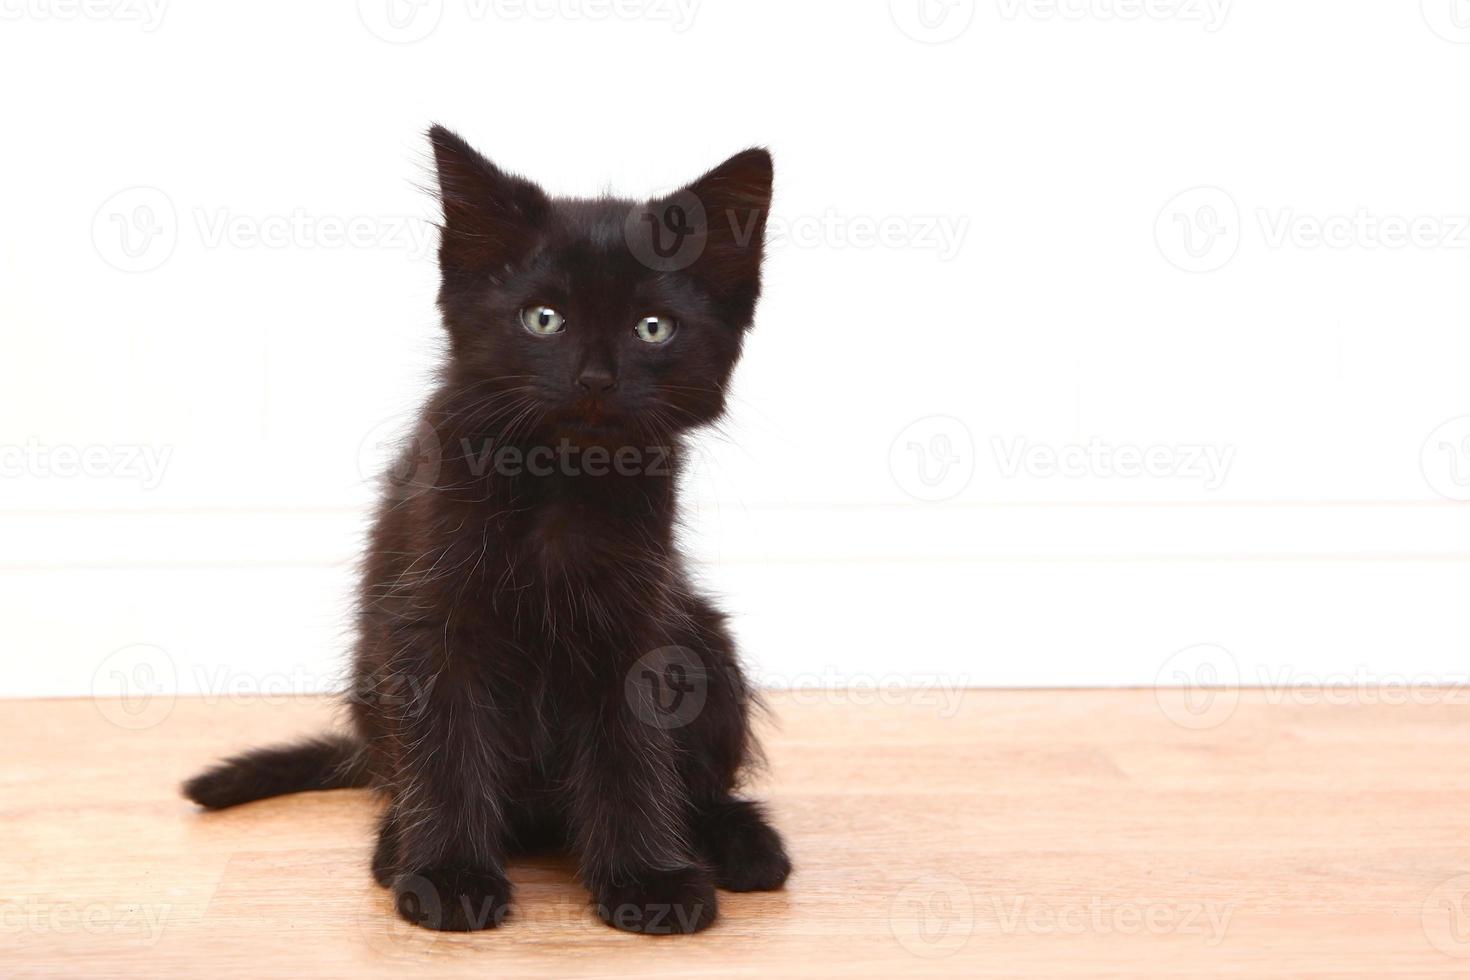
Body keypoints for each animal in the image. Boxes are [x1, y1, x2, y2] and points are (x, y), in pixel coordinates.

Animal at [183, 128, 793, 934]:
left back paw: (743, 843)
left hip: (705, 640)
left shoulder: (635, 624)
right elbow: (447, 750)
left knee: (703, 783)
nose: (596, 380)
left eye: (652, 328)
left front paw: (647, 880)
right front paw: (448, 877)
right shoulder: (430, 620)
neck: (560, 483)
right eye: (544, 319)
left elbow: (632, 755)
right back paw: (396, 846)